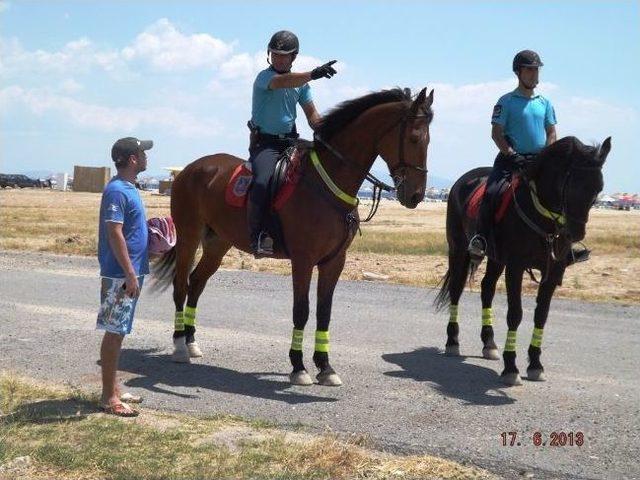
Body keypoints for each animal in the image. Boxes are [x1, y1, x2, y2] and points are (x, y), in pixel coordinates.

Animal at [154, 87, 436, 386]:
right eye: (414, 138)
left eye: (428, 140)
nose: (416, 195)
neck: (327, 183)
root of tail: (189, 169)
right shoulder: (303, 260)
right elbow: (301, 310)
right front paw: (299, 366)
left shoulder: (334, 261)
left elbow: (324, 312)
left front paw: (325, 366)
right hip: (189, 236)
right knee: (181, 285)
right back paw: (180, 345)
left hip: (218, 243)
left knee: (196, 283)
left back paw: (192, 341)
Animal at [436, 135, 608, 386]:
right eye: (572, 185)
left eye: (598, 189)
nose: (574, 233)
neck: (542, 219)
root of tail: (463, 181)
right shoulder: (515, 268)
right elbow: (515, 314)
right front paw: (511, 368)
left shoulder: (552, 273)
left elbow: (541, 316)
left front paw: (535, 364)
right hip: (459, 250)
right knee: (456, 290)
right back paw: (452, 342)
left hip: (496, 259)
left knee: (487, 289)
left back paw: (489, 343)